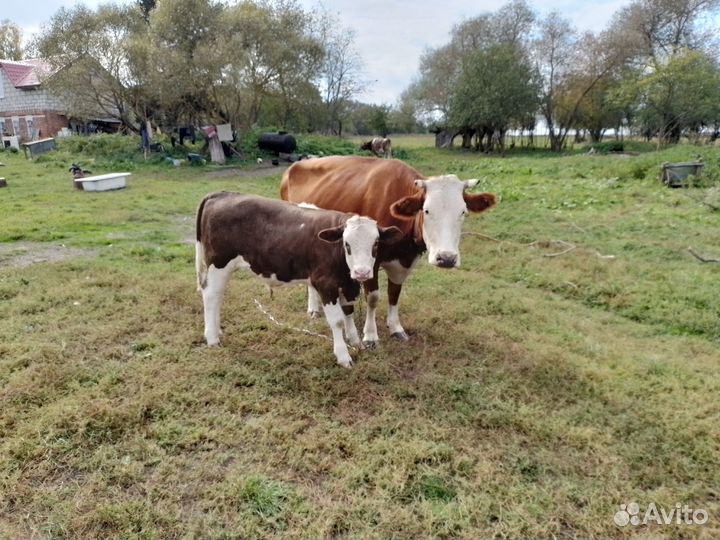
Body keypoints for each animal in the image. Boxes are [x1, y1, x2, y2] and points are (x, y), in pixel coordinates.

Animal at [195, 192, 403, 367]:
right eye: (347, 244)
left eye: (375, 243)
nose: (362, 272)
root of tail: (223, 194)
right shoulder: (325, 284)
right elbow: (337, 321)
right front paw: (344, 356)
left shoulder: (346, 284)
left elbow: (348, 312)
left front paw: (355, 342)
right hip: (219, 263)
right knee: (211, 295)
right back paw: (212, 338)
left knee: (217, 296)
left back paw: (217, 331)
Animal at [280, 156, 497, 348]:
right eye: (426, 210)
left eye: (463, 212)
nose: (447, 258)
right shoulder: (370, 260)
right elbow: (373, 298)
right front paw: (370, 336)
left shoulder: (404, 261)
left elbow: (394, 293)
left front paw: (395, 327)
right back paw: (313, 308)